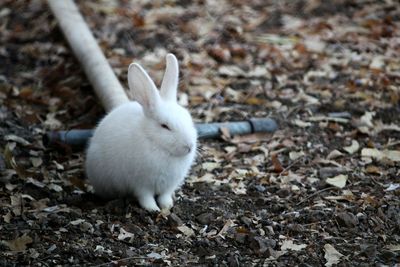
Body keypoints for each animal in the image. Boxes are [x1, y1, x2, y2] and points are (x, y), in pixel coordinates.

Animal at [85, 54, 198, 211]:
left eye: (189, 119)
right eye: (165, 126)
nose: (189, 146)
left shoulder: (169, 185)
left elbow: (164, 196)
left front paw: (167, 206)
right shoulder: (141, 184)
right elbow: (145, 197)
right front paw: (153, 209)